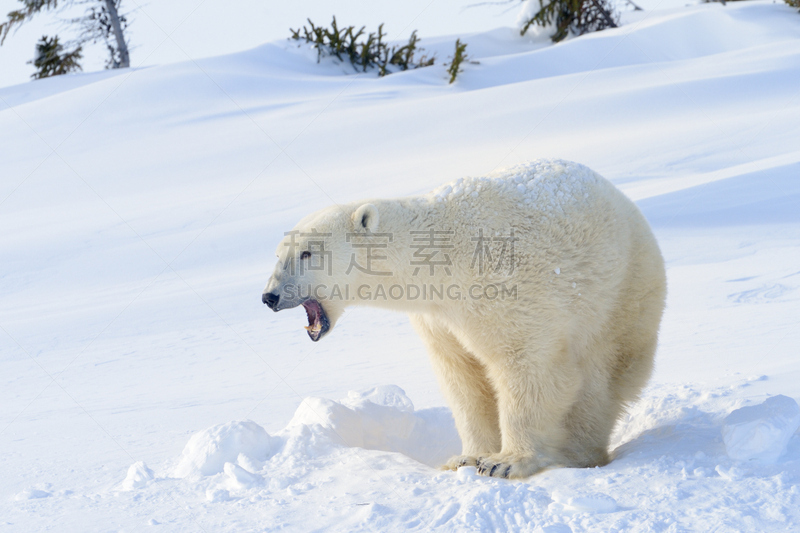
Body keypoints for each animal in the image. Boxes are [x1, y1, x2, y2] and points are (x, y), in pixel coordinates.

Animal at [264, 159, 668, 478]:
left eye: (307, 253)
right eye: (279, 254)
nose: (269, 296)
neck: (441, 265)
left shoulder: (504, 292)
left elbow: (527, 367)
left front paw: (507, 461)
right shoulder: (438, 320)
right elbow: (463, 378)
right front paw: (465, 458)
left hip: (621, 296)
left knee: (597, 380)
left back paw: (578, 453)